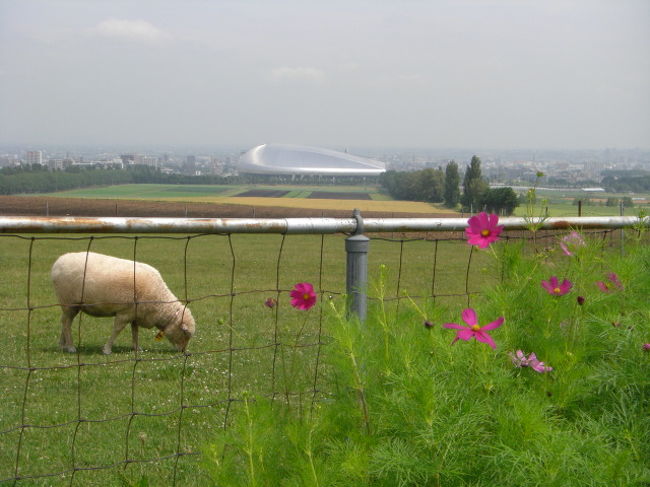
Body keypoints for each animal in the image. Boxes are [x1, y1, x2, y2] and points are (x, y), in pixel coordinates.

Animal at [51, 252, 195, 354]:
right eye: (185, 333)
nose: (184, 352)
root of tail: (58, 262)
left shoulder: (136, 313)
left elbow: (135, 331)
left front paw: (137, 348)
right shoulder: (125, 312)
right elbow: (117, 330)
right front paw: (107, 349)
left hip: (73, 305)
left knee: (65, 322)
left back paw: (62, 345)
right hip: (68, 302)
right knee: (66, 323)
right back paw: (70, 347)